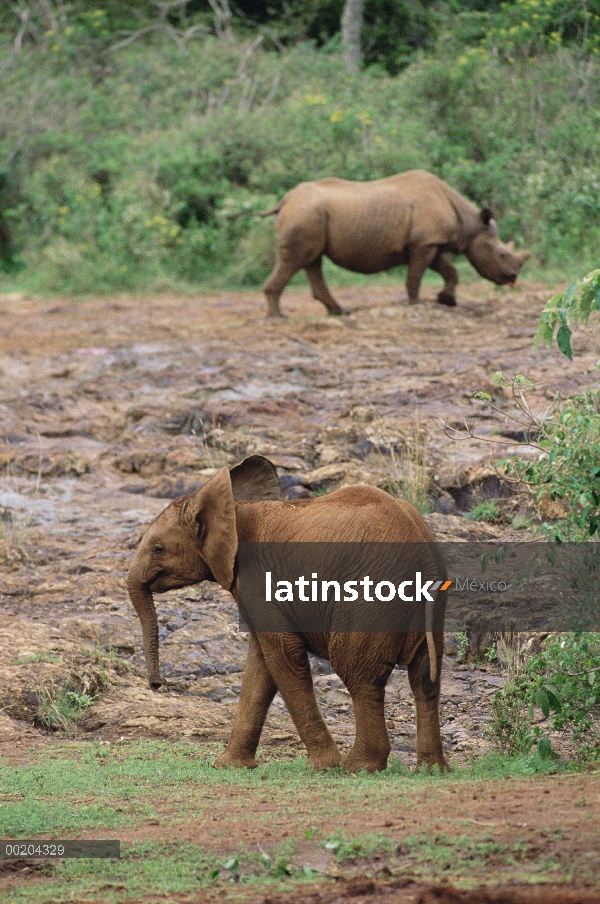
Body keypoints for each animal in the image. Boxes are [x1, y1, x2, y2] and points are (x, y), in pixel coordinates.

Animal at [126, 456, 448, 772]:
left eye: (158, 548)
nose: (157, 684)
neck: (235, 508)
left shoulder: (258, 577)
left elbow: (283, 654)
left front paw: (323, 767)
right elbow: (261, 663)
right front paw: (229, 766)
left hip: (370, 598)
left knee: (360, 675)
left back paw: (356, 767)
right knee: (424, 679)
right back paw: (431, 770)